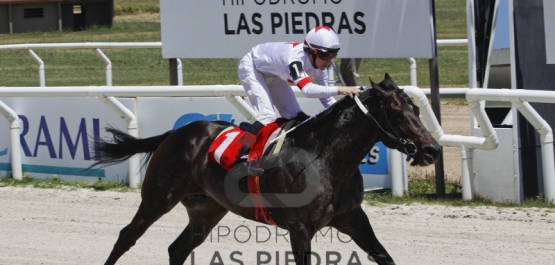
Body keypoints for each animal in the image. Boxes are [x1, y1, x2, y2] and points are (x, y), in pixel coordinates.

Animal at [93, 73, 440, 264]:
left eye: (416, 107)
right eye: (397, 111)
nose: (432, 150)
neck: (326, 158)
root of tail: (175, 133)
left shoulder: (352, 217)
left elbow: (384, 256)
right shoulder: (300, 227)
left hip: (206, 208)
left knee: (177, 249)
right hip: (158, 196)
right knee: (126, 237)